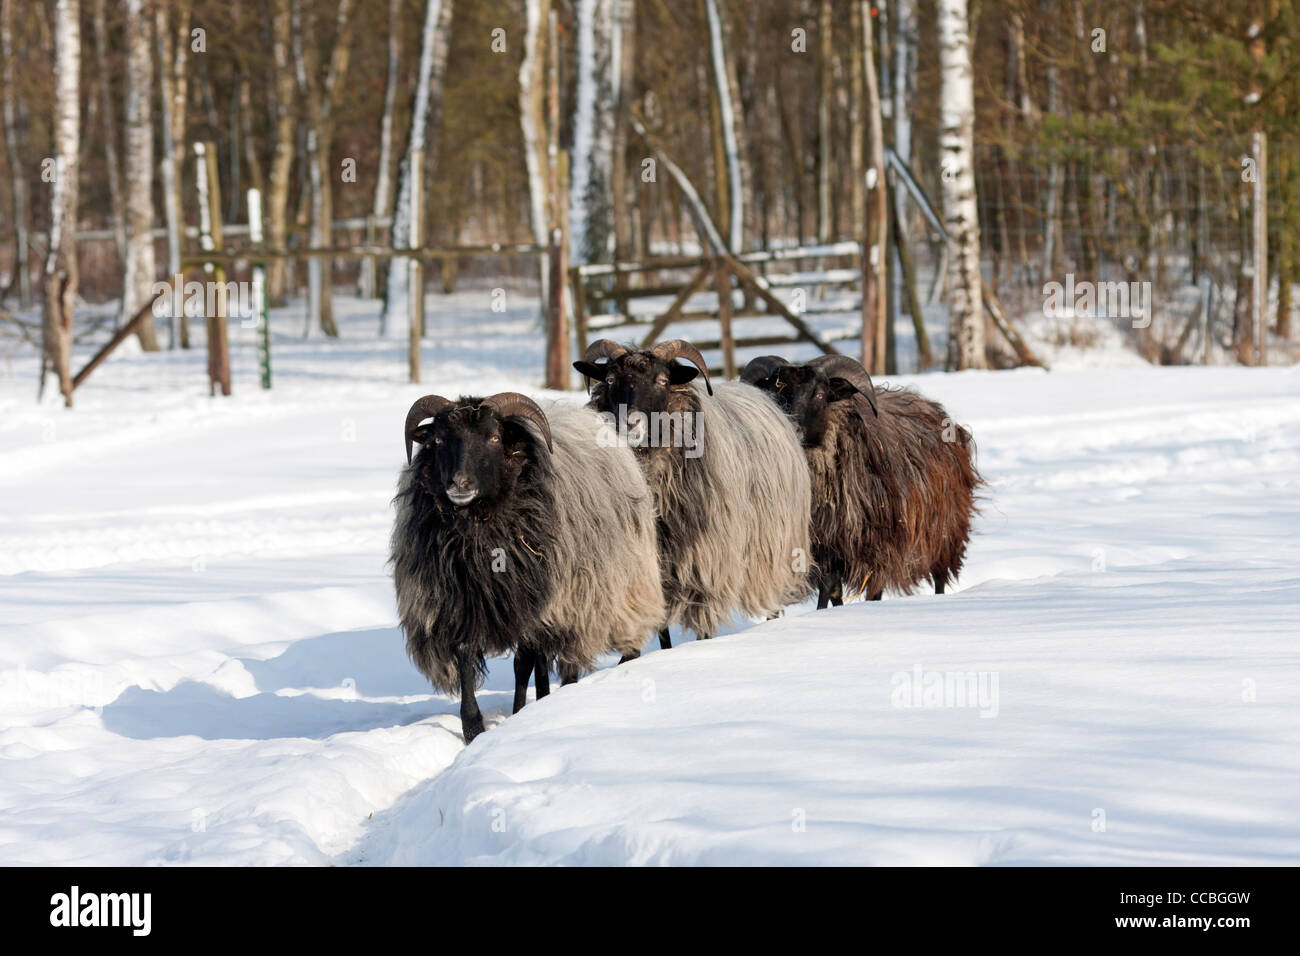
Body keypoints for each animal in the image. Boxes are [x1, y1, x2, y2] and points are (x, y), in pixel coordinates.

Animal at [390, 390, 665, 738]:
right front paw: (473, 727)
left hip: (596, 594)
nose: (459, 484)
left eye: (494, 437)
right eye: (438, 440)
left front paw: (521, 715)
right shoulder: (461, 601)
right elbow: (466, 655)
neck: (479, 524)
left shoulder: (536, 601)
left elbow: (523, 662)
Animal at [574, 340, 806, 647]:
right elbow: (662, 629)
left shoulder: (707, 561)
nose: (630, 423)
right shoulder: (655, 566)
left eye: (663, 380)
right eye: (610, 379)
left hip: (771, 549)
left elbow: (704, 622)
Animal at [743, 356, 977, 608]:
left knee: (937, 579)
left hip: (944, 534)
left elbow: (835, 588)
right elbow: (833, 590)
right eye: (775, 393)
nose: (792, 428)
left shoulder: (873, 546)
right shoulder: (822, 547)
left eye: (820, 394)